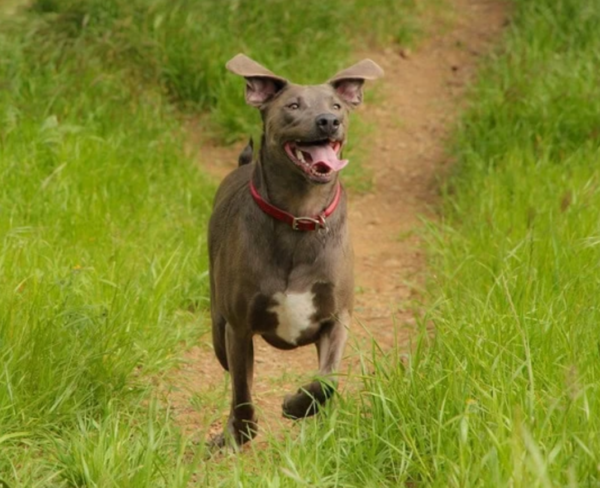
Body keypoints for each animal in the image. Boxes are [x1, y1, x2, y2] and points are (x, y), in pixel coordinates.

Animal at [206, 55, 384, 448]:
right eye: (292, 106)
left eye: (337, 106)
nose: (329, 121)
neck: (299, 217)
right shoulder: (238, 327)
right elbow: (242, 390)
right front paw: (241, 432)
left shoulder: (337, 319)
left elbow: (326, 382)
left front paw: (297, 405)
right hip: (217, 324)